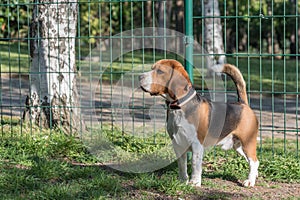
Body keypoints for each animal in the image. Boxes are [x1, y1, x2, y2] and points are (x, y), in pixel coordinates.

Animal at [139, 58, 258, 187]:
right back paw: (254, 176)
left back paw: (250, 181)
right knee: (254, 162)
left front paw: (194, 182)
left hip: (248, 142)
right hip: (238, 146)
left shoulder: (196, 144)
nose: (139, 76)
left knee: (254, 161)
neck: (179, 107)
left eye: (160, 71)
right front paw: (183, 181)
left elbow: (195, 164)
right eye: (152, 68)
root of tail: (242, 104)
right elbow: (182, 165)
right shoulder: (178, 143)